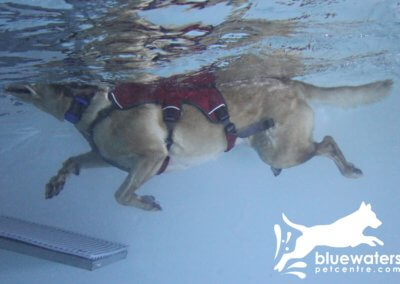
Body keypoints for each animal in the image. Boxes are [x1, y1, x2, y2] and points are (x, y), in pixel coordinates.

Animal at [5, 73, 394, 211]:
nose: (8, 84)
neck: (89, 107)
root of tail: (290, 81)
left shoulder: (150, 158)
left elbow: (121, 195)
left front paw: (145, 202)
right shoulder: (107, 158)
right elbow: (73, 160)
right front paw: (56, 181)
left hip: (283, 150)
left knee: (326, 142)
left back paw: (349, 169)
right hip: (271, 150)